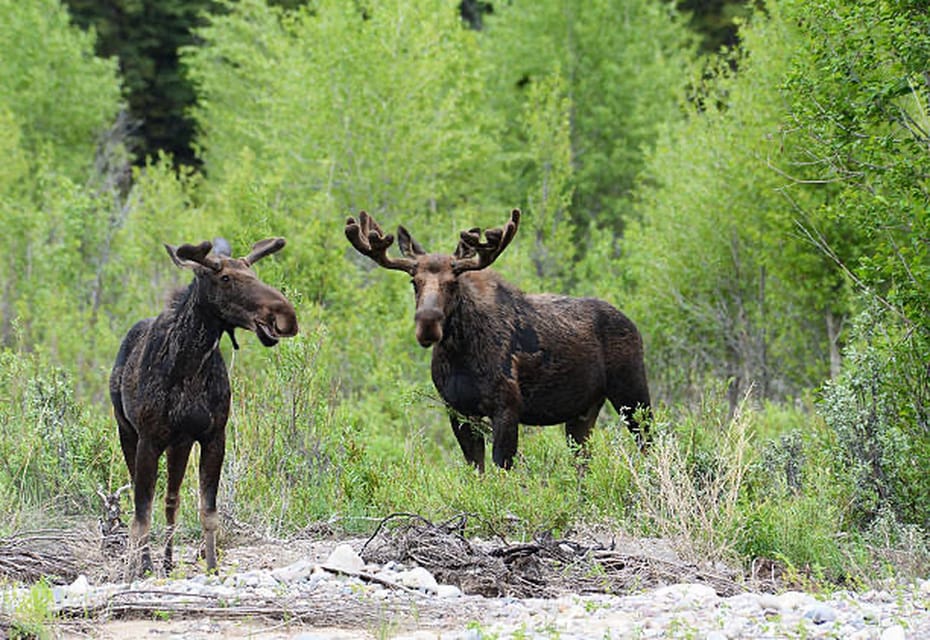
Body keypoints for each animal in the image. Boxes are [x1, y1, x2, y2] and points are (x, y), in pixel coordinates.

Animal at [109, 236, 300, 576]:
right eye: (225, 278)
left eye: (252, 272)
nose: (285, 316)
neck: (191, 366)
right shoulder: (148, 439)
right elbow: (141, 515)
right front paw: (138, 571)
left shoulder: (213, 436)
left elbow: (207, 512)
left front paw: (212, 568)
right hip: (127, 431)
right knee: (144, 502)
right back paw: (145, 562)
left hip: (179, 444)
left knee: (172, 499)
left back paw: (168, 562)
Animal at [344, 210, 648, 470]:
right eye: (413, 282)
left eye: (453, 282)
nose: (427, 324)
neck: (459, 355)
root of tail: (633, 325)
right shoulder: (458, 411)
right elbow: (476, 471)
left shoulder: (507, 408)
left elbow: (501, 470)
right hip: (583, 412)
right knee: (584, 462)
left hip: (632, 392)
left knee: (647, 442)